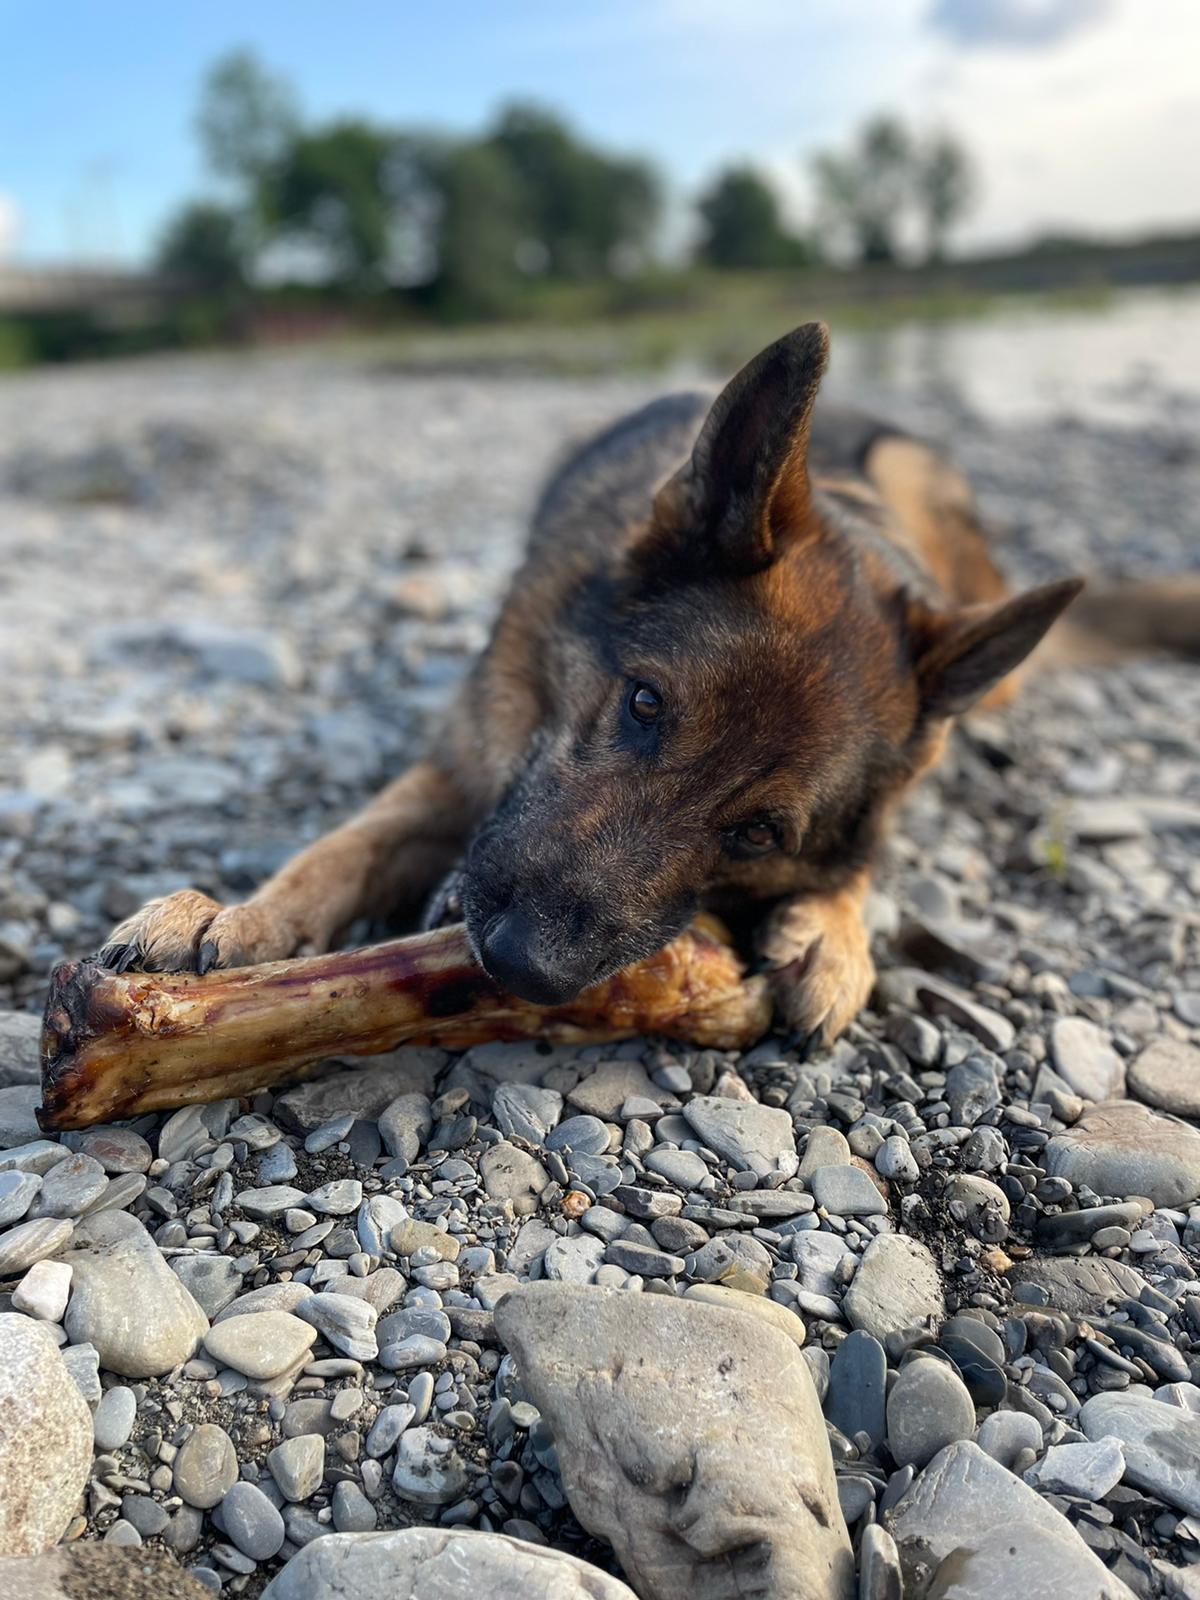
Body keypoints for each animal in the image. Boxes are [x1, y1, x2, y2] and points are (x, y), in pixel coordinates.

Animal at [91, 323, 1126, 1043]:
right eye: (644, 703)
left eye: (758, 833)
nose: (520, 964)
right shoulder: (460, 771)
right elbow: (343, 844)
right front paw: (239, 913)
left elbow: (858, 865)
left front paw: (832, 935)